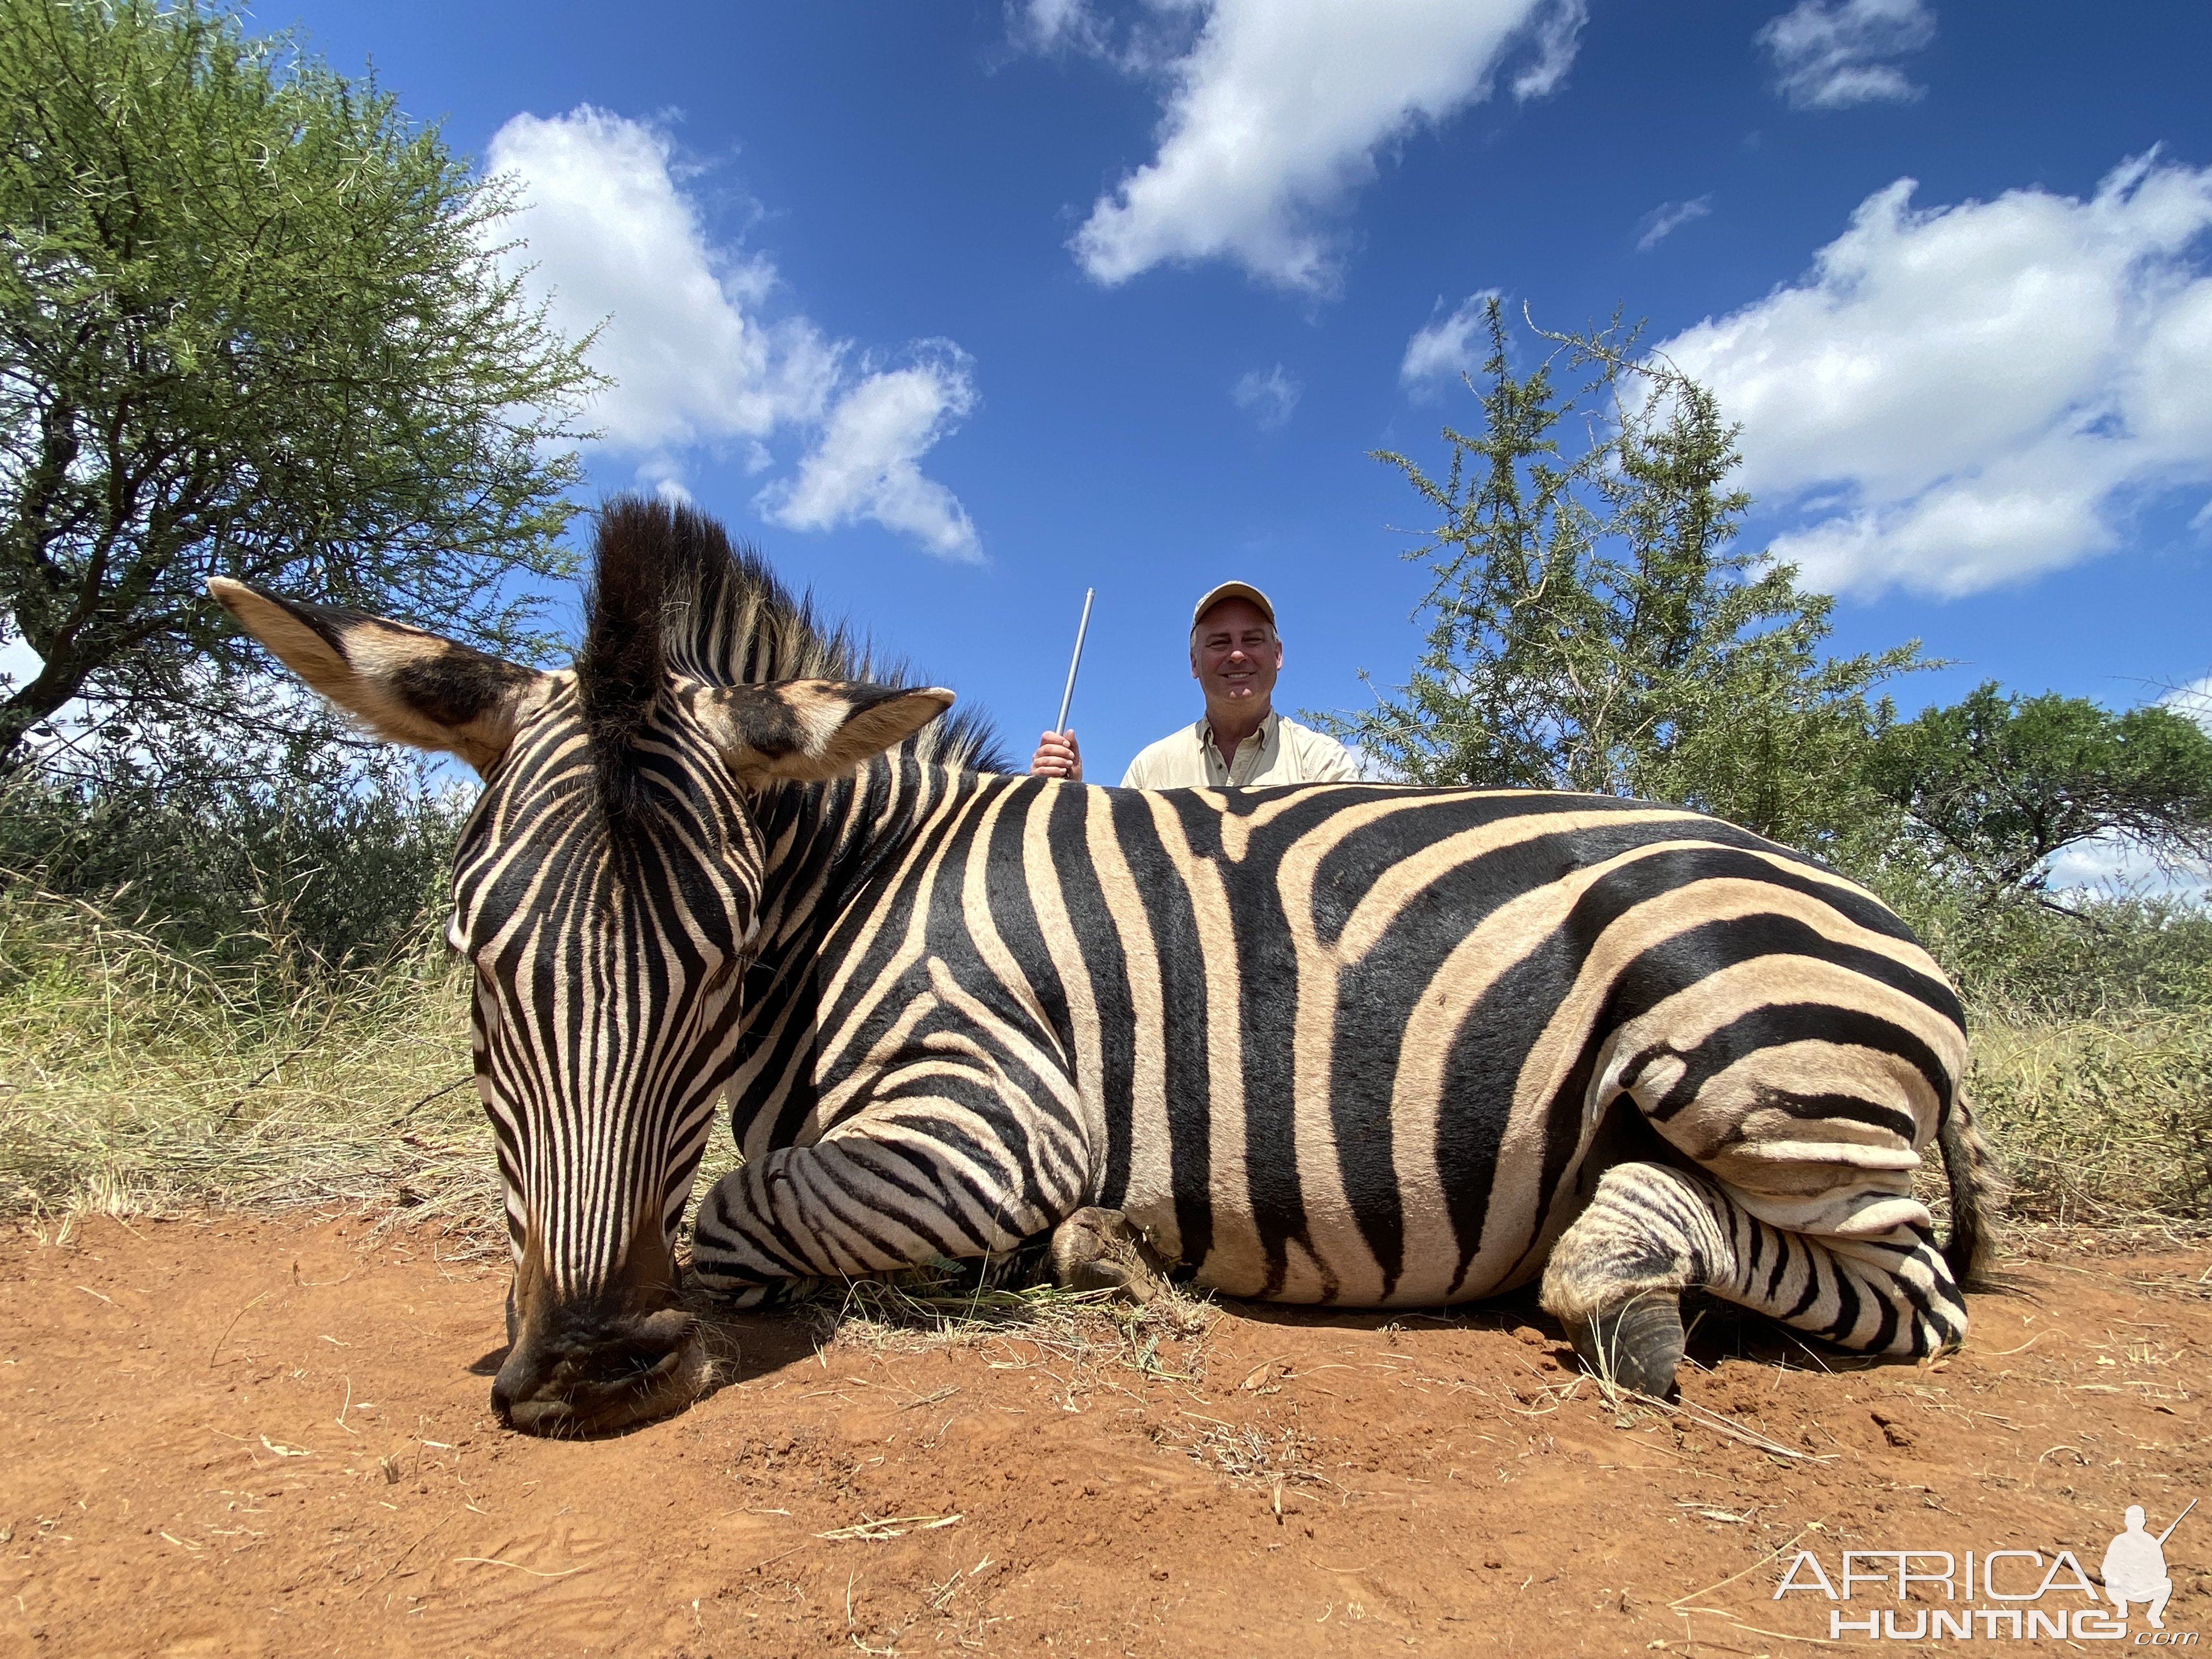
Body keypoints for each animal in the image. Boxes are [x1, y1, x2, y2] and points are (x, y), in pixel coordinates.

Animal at [211, 498, 2008, 1442]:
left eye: (720, 962)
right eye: (475, 957)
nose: (592, 1368)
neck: (861, 892)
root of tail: (1873, 913)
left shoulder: (990, 1118)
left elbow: (741, 1206)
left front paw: (1064, 1255)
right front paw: (1093, 1251)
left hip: (1749, 1057)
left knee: (1902, 1291)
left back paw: (1630, 1286)